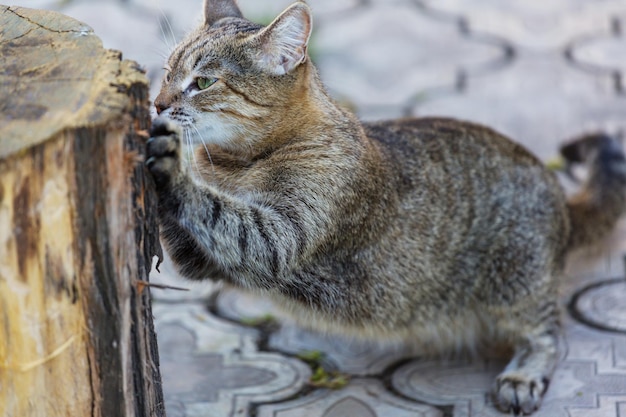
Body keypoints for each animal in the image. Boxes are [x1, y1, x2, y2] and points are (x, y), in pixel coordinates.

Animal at [145, 0, 624, 412]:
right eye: (167, 73)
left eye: (203, 82)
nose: (158, 103)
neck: (236, 164)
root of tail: (561, 200)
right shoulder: (201, 260)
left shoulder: (276, 237)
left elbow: (217, 209)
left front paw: (172, 165)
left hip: (516, 284)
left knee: (550, 333)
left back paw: (523, 375)